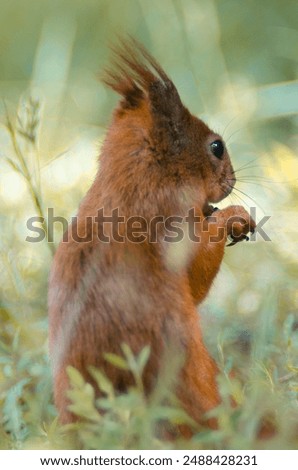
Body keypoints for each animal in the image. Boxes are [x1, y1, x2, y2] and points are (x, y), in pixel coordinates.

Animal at [48, 39, 256, 430]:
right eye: (217, 147)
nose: (232, 181)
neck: (140, 177)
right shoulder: (172, 223)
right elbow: (197, 275)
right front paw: (233, 217)